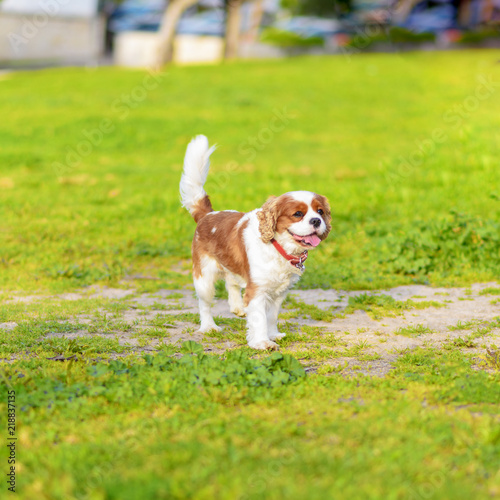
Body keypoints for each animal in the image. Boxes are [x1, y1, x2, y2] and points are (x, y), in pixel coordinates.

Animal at [181, 135, 332, 350]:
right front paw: (262, 342)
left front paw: (273, 334)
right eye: (298, 214)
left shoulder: (278, 293)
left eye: (320, 212)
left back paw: (237, 307)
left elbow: (271, 317)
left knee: (231, 282)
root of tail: (207, 215)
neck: (279, 248)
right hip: (204, 277)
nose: (316, 221)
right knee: (205, 303)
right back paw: (209, 327)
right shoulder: (258, 291)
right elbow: (259, 318)